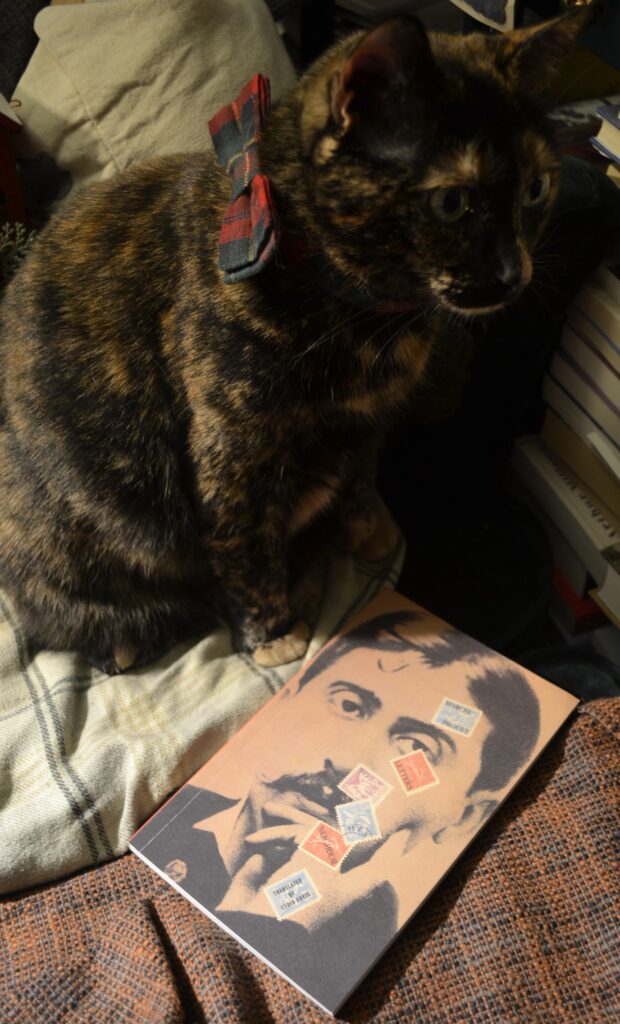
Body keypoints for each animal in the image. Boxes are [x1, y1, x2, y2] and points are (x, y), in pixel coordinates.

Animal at [0, 12, 594, 675]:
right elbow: (246, 549)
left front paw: (367, 529)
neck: (371, 322)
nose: (516, 272)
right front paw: (272, 631)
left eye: (537, 189)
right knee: (56, 605)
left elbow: (360, 475)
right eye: (451, 202)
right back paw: (126, 636)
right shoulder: (231, 456)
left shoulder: (370, 422)